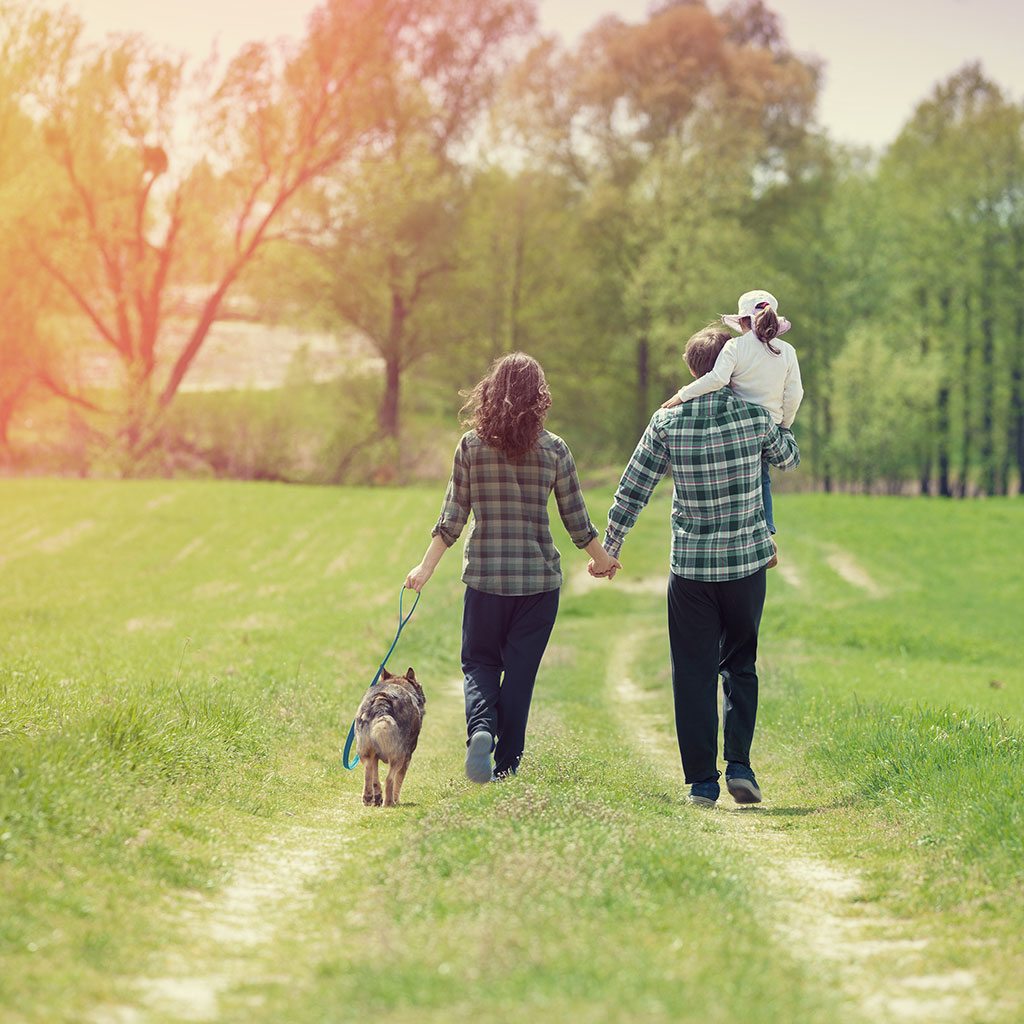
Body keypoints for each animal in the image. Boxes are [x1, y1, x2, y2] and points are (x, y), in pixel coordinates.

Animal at [354, 667, 425, 802]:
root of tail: (381, 699)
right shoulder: (407, 758)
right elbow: (398, 782)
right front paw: (396, 800)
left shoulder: (374, 756)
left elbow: (375, 778)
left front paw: (377, 797)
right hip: (399, 757)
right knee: (389, 779)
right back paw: (390, 803)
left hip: (365, 752)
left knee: (369, 772)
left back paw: (369, 798)